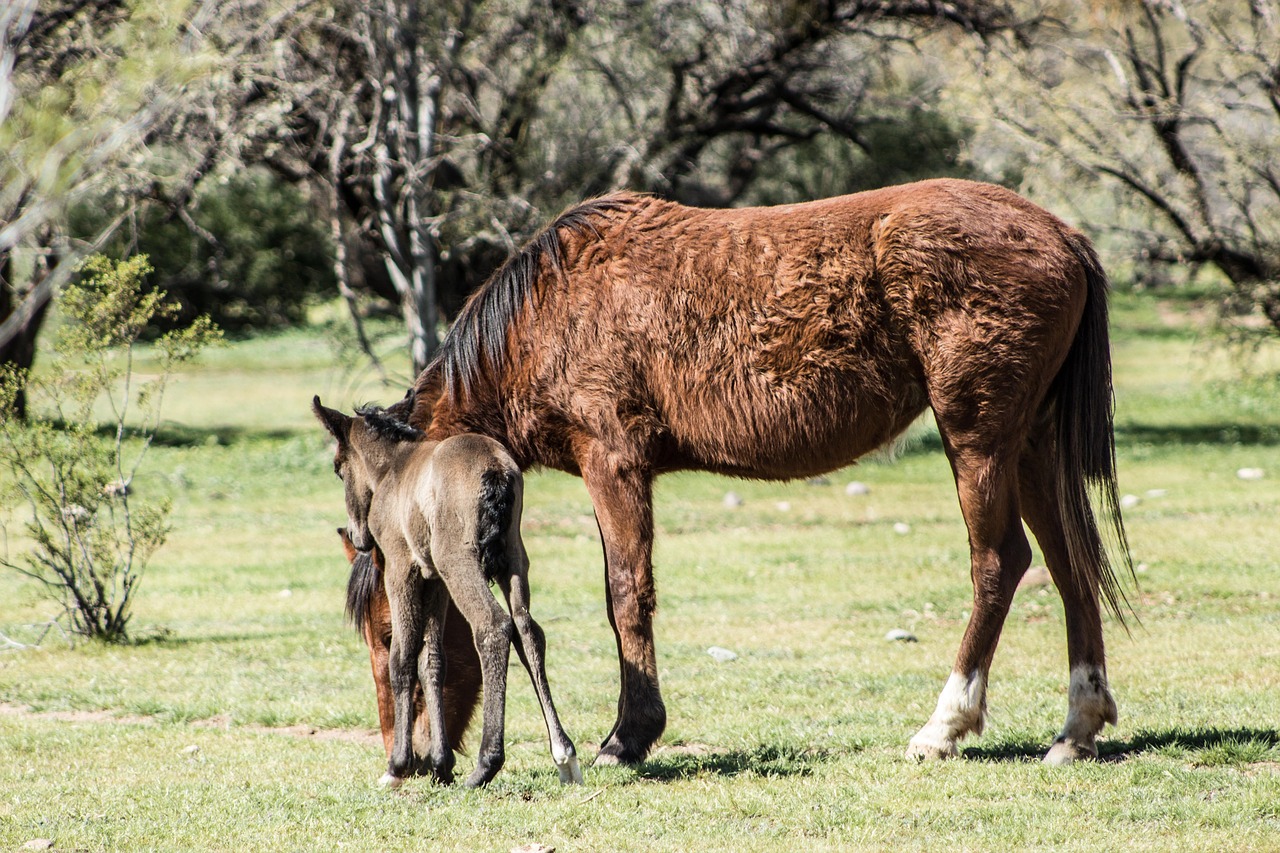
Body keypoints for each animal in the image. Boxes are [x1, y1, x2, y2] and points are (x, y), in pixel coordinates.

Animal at [404, 179, 1126, 763]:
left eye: (394, 623)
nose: (408, 758)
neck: (551, 307)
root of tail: (1063, 235)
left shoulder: (611, 462)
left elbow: (626, 595)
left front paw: (627, 736)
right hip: (1028, 444)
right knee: (1068, 563)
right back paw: (1076, 728)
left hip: (978, 442)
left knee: (1000, 562)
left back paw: (944, 726)